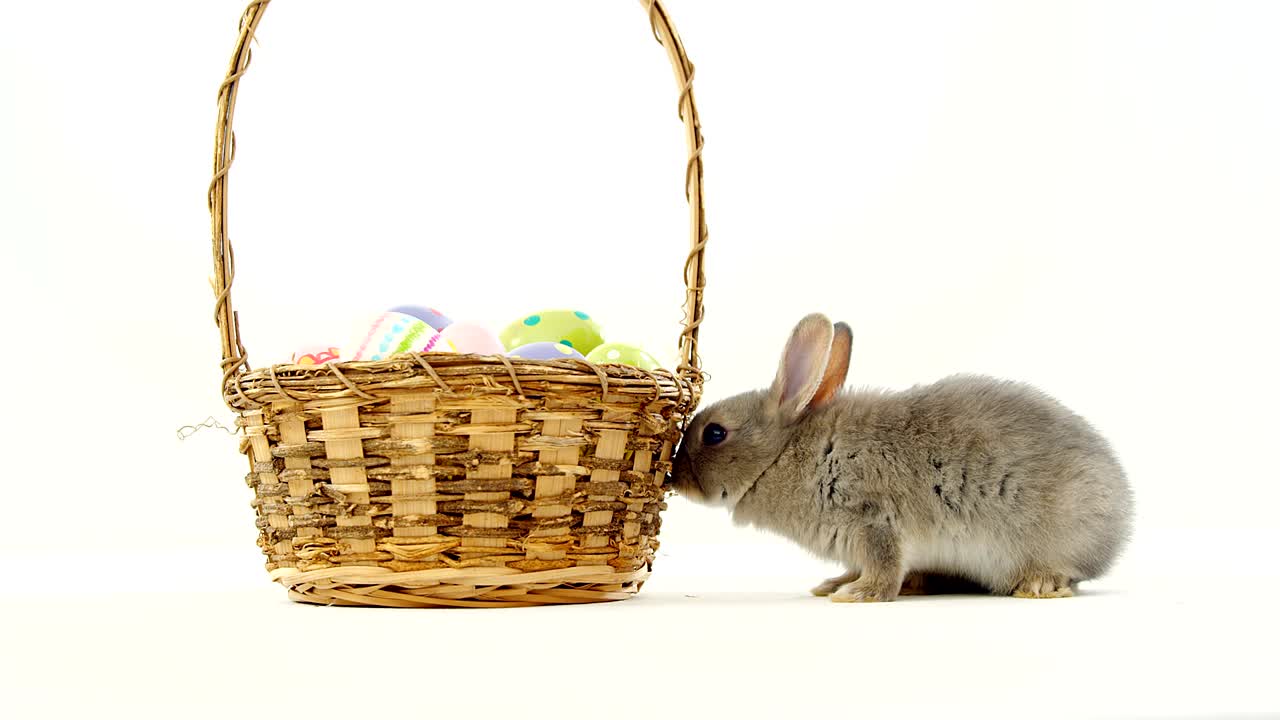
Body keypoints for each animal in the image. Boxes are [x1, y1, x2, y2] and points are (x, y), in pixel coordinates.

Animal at [670, 313, 1132, 602]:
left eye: (714, 433)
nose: (673, 474)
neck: (786, 453)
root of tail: (1121, 519)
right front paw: (833, 584)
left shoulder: (872, 520)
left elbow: (883, 566)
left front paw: (857, 595)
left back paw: (1038, 584)